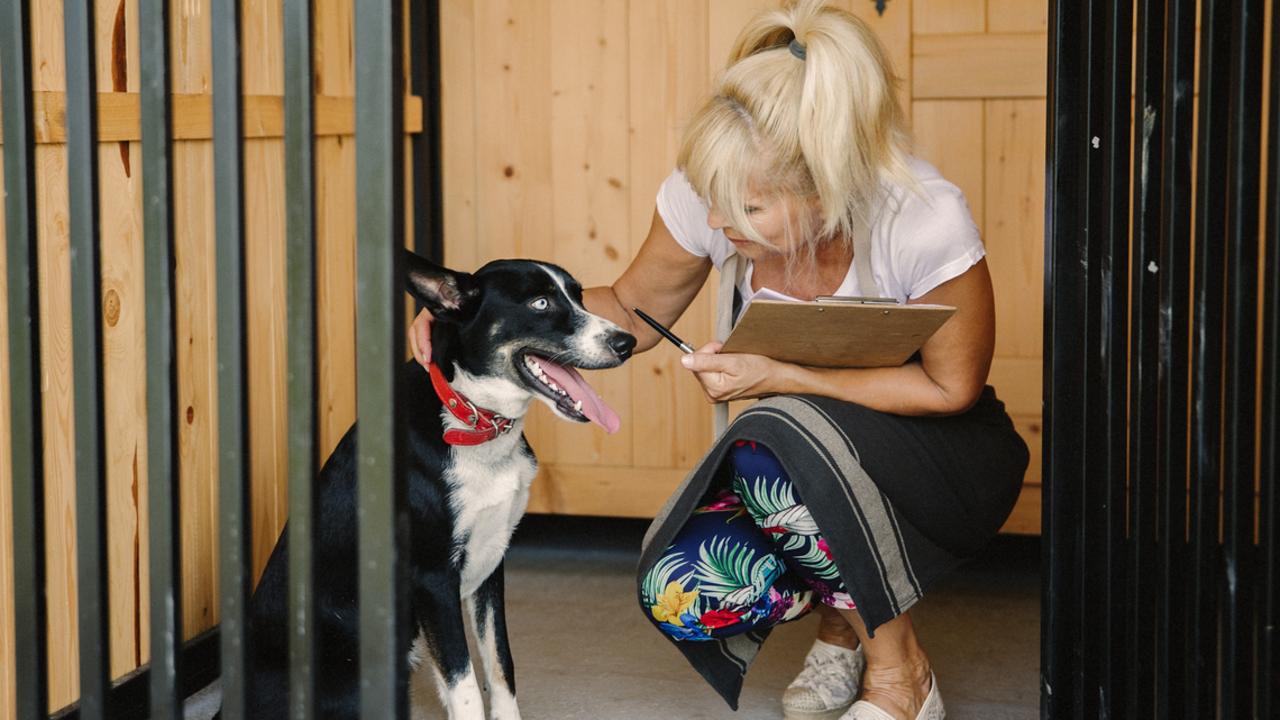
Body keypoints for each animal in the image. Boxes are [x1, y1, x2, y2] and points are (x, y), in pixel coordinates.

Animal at [225, 249, 640, 712]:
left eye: (578, 296)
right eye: (540, 304)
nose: (626, 342)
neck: (473, 420)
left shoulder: (490, 561)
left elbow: (500, 667)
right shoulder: (434, 578)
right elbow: (465, 687)